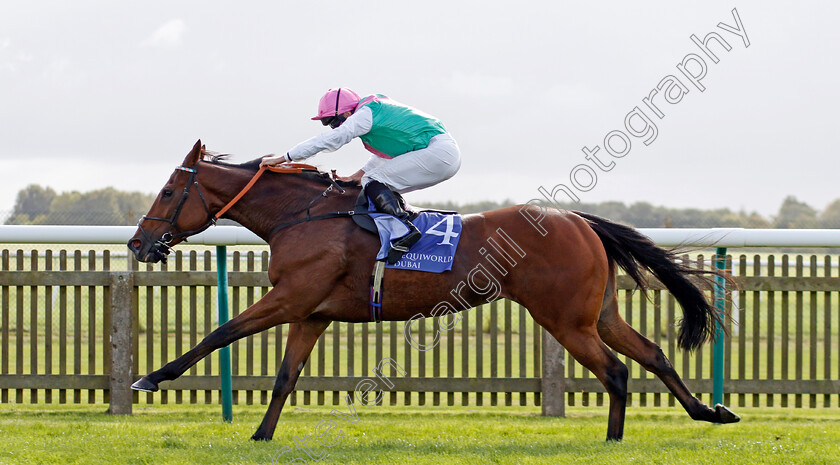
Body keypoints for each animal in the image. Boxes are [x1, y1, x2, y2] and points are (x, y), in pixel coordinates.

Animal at [128, 140, 740, 440]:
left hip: (565, 319)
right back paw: (710, 413)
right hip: (598, 314)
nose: (138, 243)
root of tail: (580, 220)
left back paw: (614, 440)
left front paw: (150, 377)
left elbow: (219, 333)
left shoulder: (291, 299)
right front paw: (261, 435)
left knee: (615, 371)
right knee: (652, 354)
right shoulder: (311, 313)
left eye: (167, 192)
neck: (301, 215)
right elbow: (283, 378)